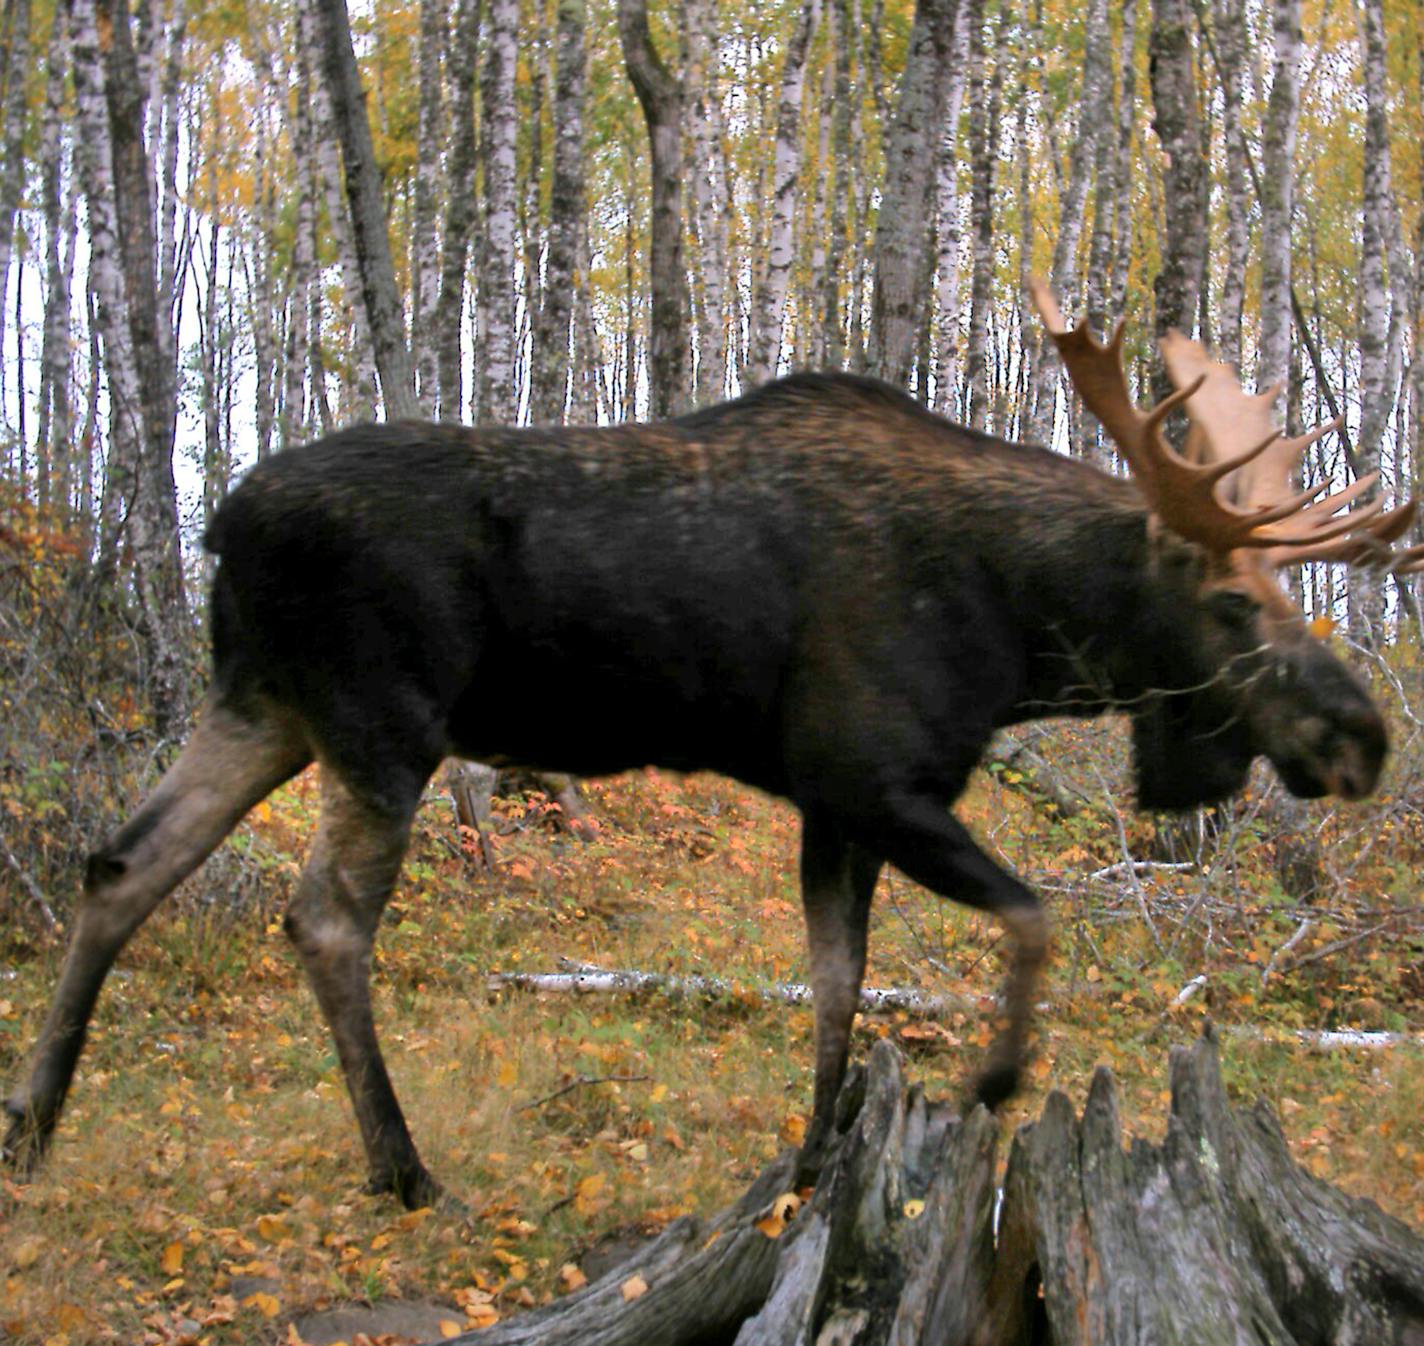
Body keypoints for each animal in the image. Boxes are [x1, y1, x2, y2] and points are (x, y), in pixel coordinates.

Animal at [2, 286, 1412, 1207]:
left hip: (264, 707)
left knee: (121, 865)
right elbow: (1029, 919)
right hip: (378, 722)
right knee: (322, 919)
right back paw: (400, 1168)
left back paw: (35, 1125)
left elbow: (840, 983)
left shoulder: (833, 804)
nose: (1362, 737)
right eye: (1233, 601)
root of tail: (220, 521)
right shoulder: (871, 775)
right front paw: (992, 1078)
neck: (1021, 635)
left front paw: (815, 1155)